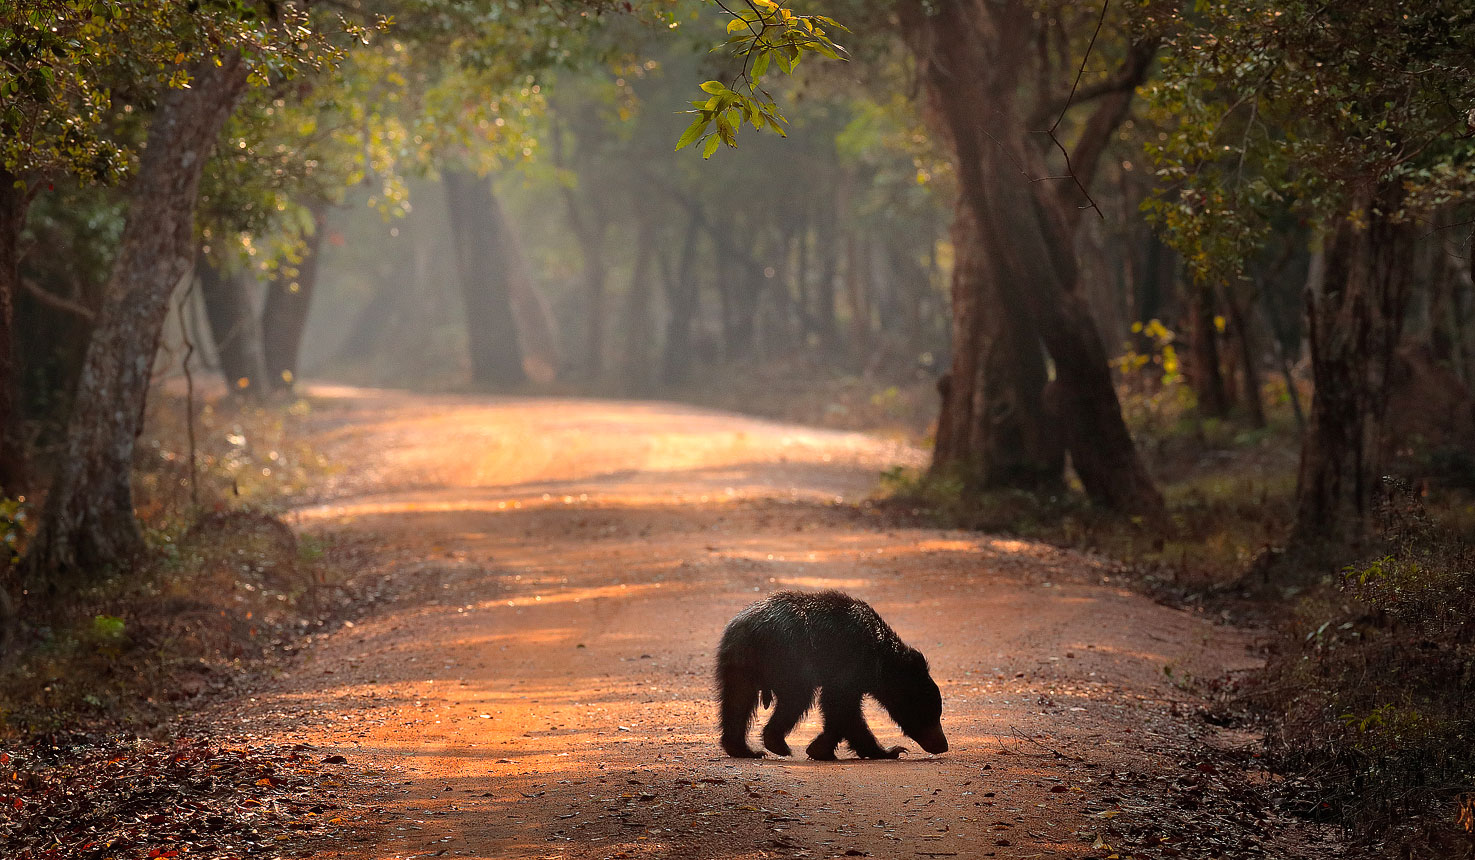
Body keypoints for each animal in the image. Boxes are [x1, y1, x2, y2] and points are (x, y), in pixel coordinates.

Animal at [716, 593, 949, 761]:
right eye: (930, 714)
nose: (943, 745)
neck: (880, 660)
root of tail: (750, 630)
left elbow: (839, 709)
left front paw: (820, 750)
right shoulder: (849, 662)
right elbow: (842, 707)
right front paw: (891, 750)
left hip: (739, 665)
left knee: (736, 703)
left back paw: (744, 749)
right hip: (790, 658)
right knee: (796, 698)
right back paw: (777, 744)